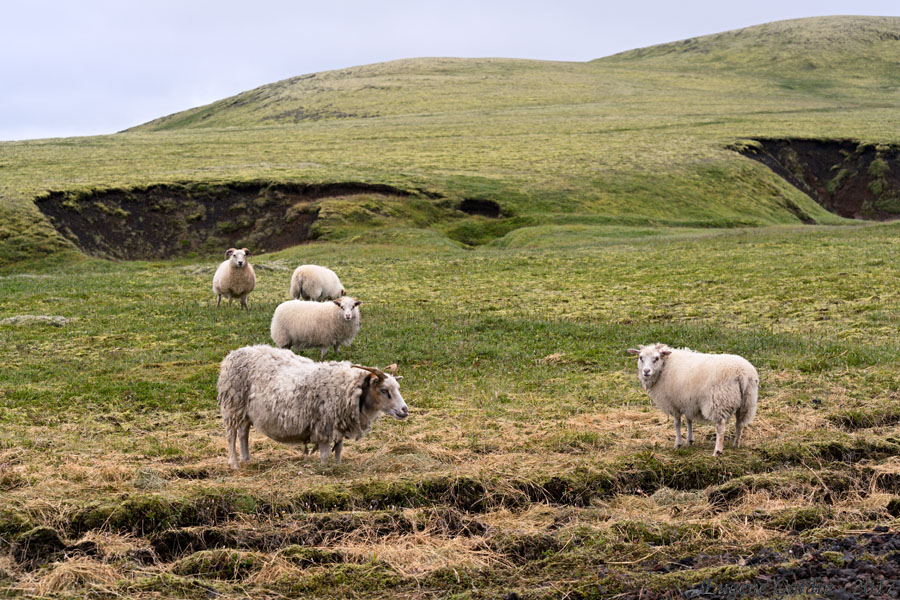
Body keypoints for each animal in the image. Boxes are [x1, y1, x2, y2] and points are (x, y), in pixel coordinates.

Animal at [216, 342, 406, 468]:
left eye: (397, 388)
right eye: (384, 390)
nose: (405, 410)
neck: (351, 388)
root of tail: (233, 354)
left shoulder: (338, 426)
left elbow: (338, 451)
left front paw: (337, 466)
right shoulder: (324, 427)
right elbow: (325, 455)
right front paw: (326, 469)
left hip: (245, 411)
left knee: (243, 433)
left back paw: (246, 459)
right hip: (233, 405)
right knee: (231, 435)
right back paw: (234, 463)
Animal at [624, 344, 760, 458]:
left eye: (656, 358)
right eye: (640, 357)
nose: (646, 371)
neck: (665, 366)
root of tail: (742, 373)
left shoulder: (673, 403)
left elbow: (677, 423)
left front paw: (678, 444)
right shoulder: (687, 401)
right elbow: (689, 420)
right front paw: (689, 440)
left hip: (718, 400)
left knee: (721, 427)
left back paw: (717, 451)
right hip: (747, 401)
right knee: (739, 424)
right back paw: (735, 444)